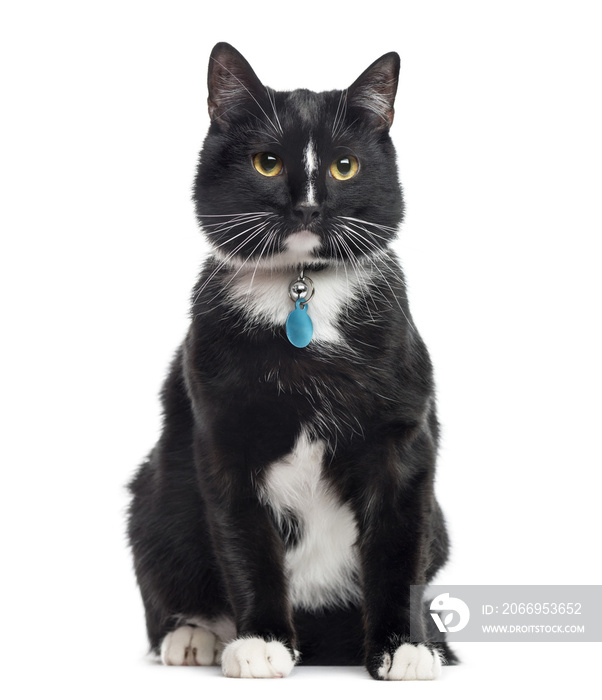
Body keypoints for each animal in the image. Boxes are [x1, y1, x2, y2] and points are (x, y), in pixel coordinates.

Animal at [127, 41, 454, 680]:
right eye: (267, 163)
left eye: (344, 166)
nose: (307, 206)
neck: (300, 291)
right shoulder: (223, 435)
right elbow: (245, 543)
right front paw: (260, 641)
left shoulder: (403, 440)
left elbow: (400, 544)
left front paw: (405, 646)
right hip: (154, 494)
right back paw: (194, 635)